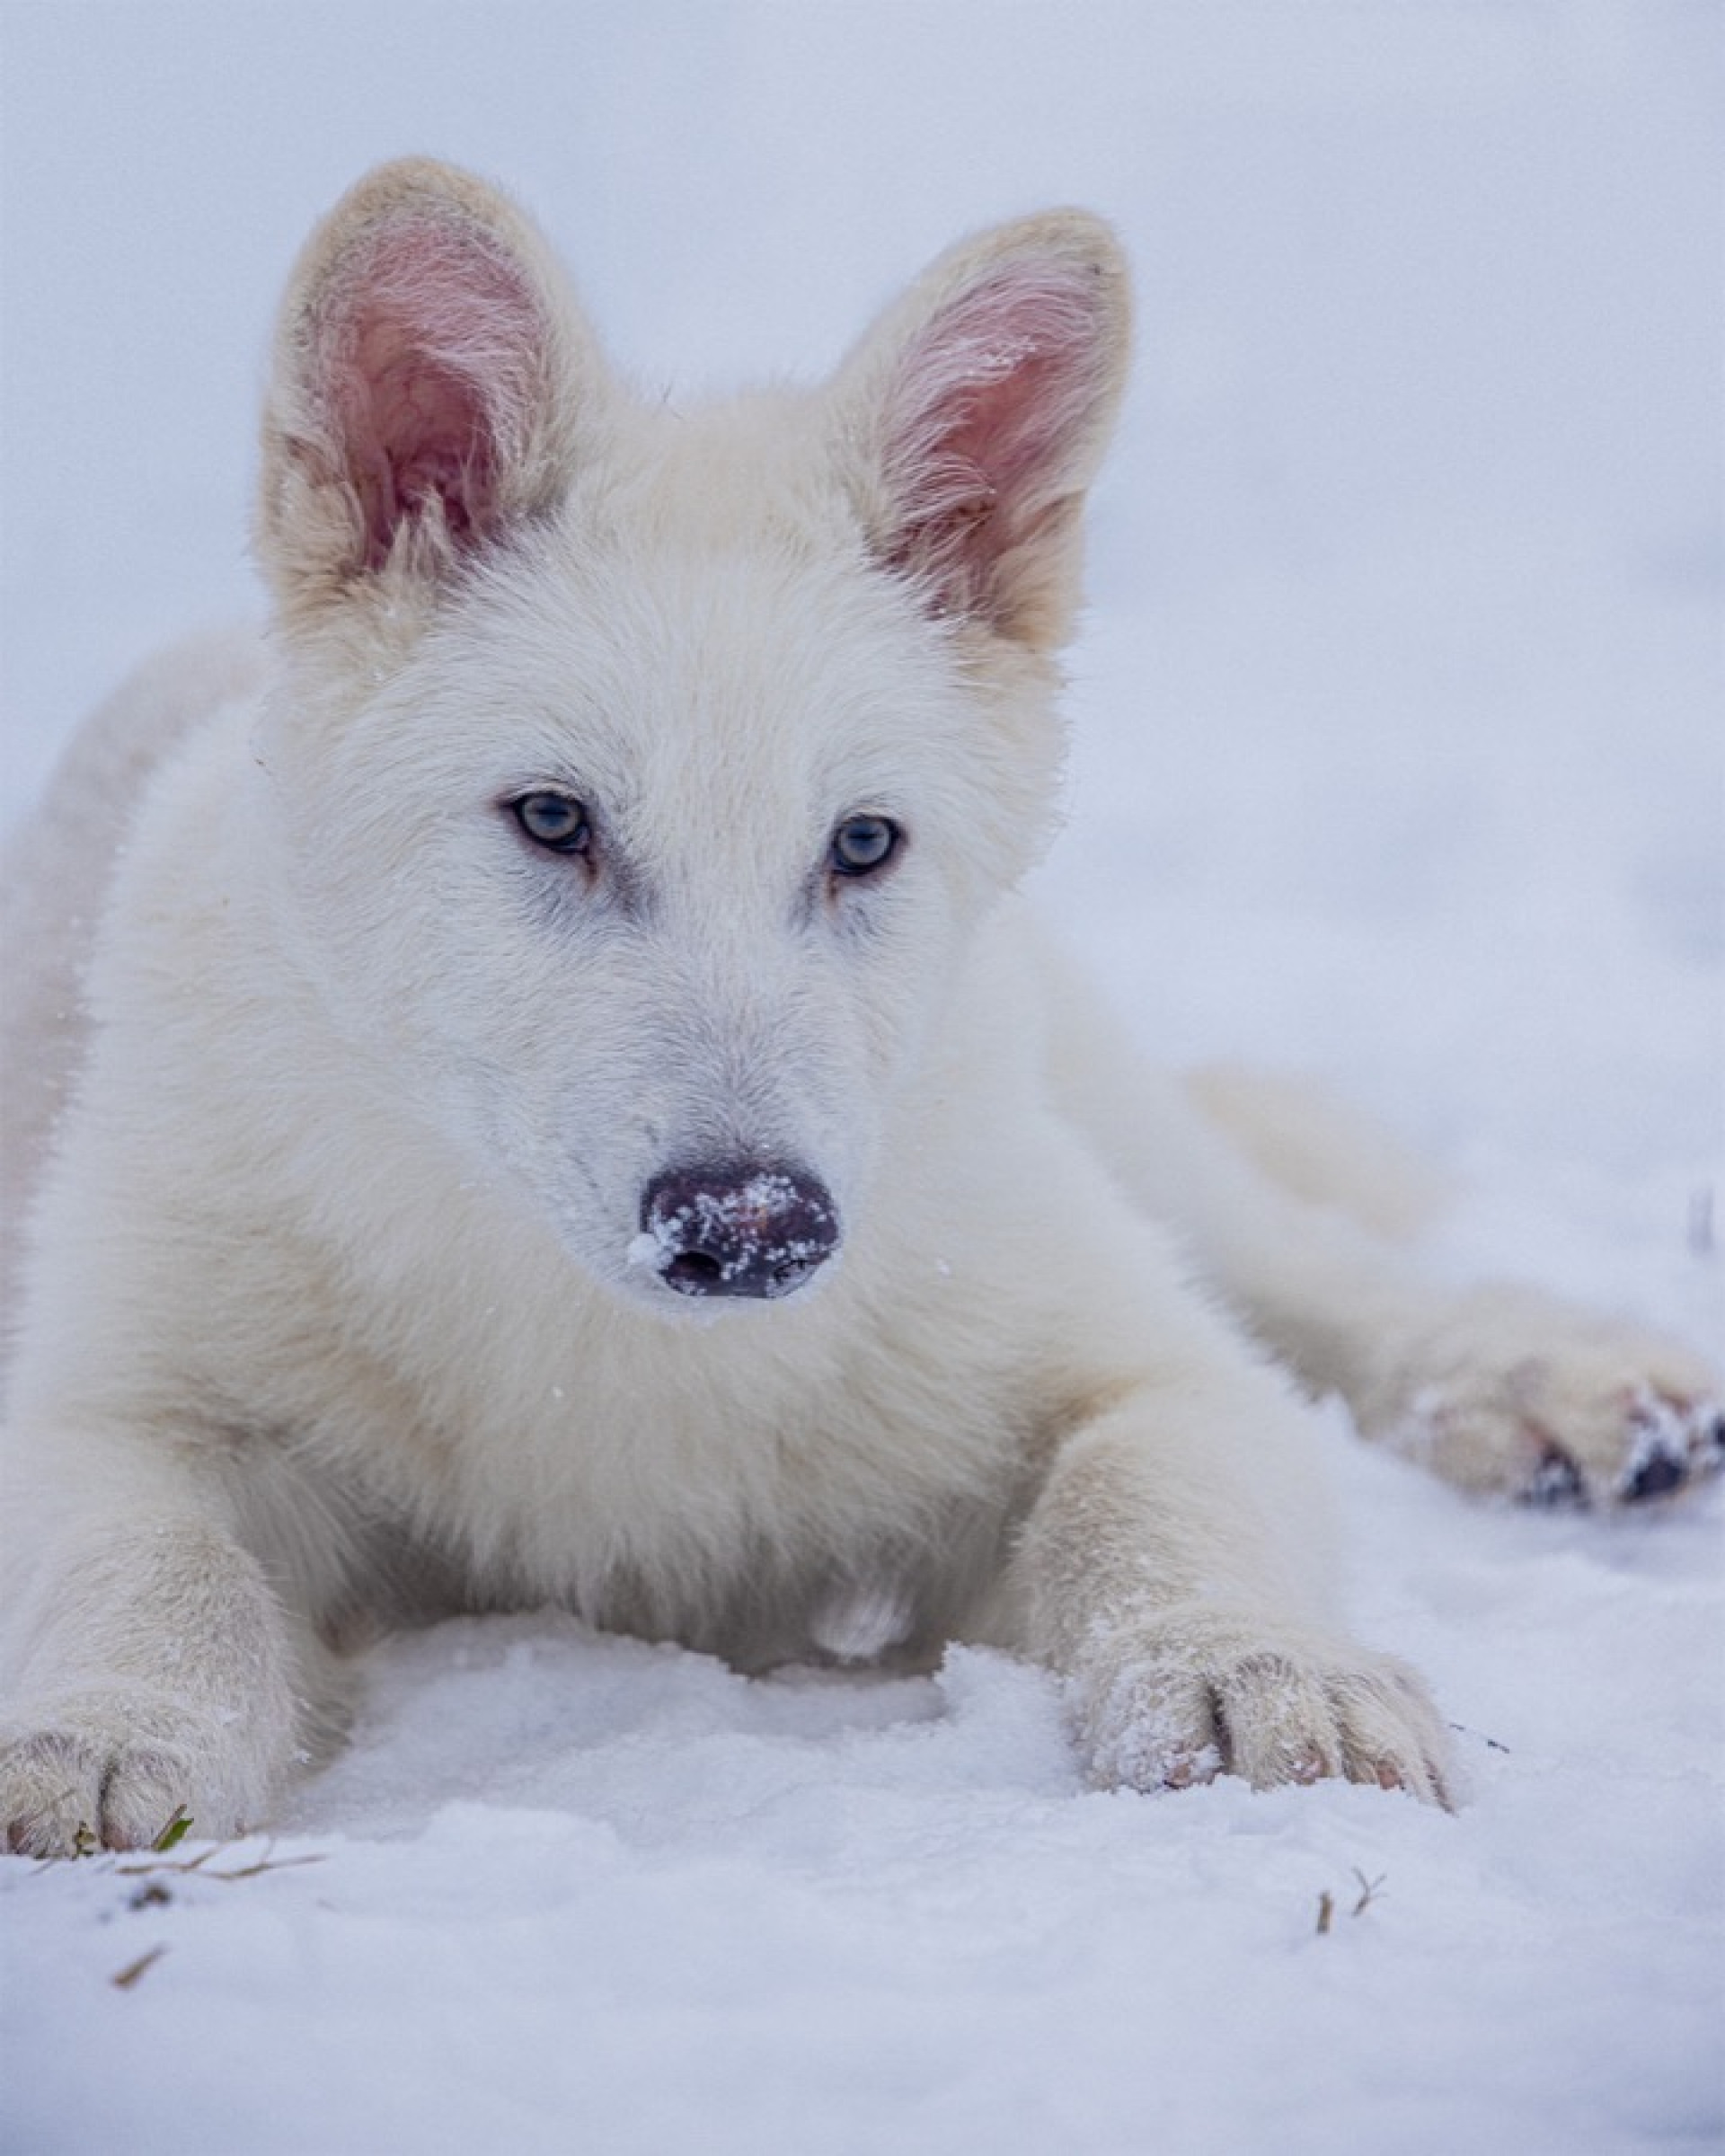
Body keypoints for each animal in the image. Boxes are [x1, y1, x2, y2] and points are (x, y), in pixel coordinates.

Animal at [1, 159, 1718, 1854]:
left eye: (862, 844)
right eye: (553, 820)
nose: (755, 1225)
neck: (610, 1366)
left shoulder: (1132, 1363)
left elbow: (1148, 1483)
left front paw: (1254, 1665)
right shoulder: (105, 1409)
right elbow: (159, 1566)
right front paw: (104, 1735)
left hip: (1088, 1119)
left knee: (1309, 1272)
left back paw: (1554, 1390)